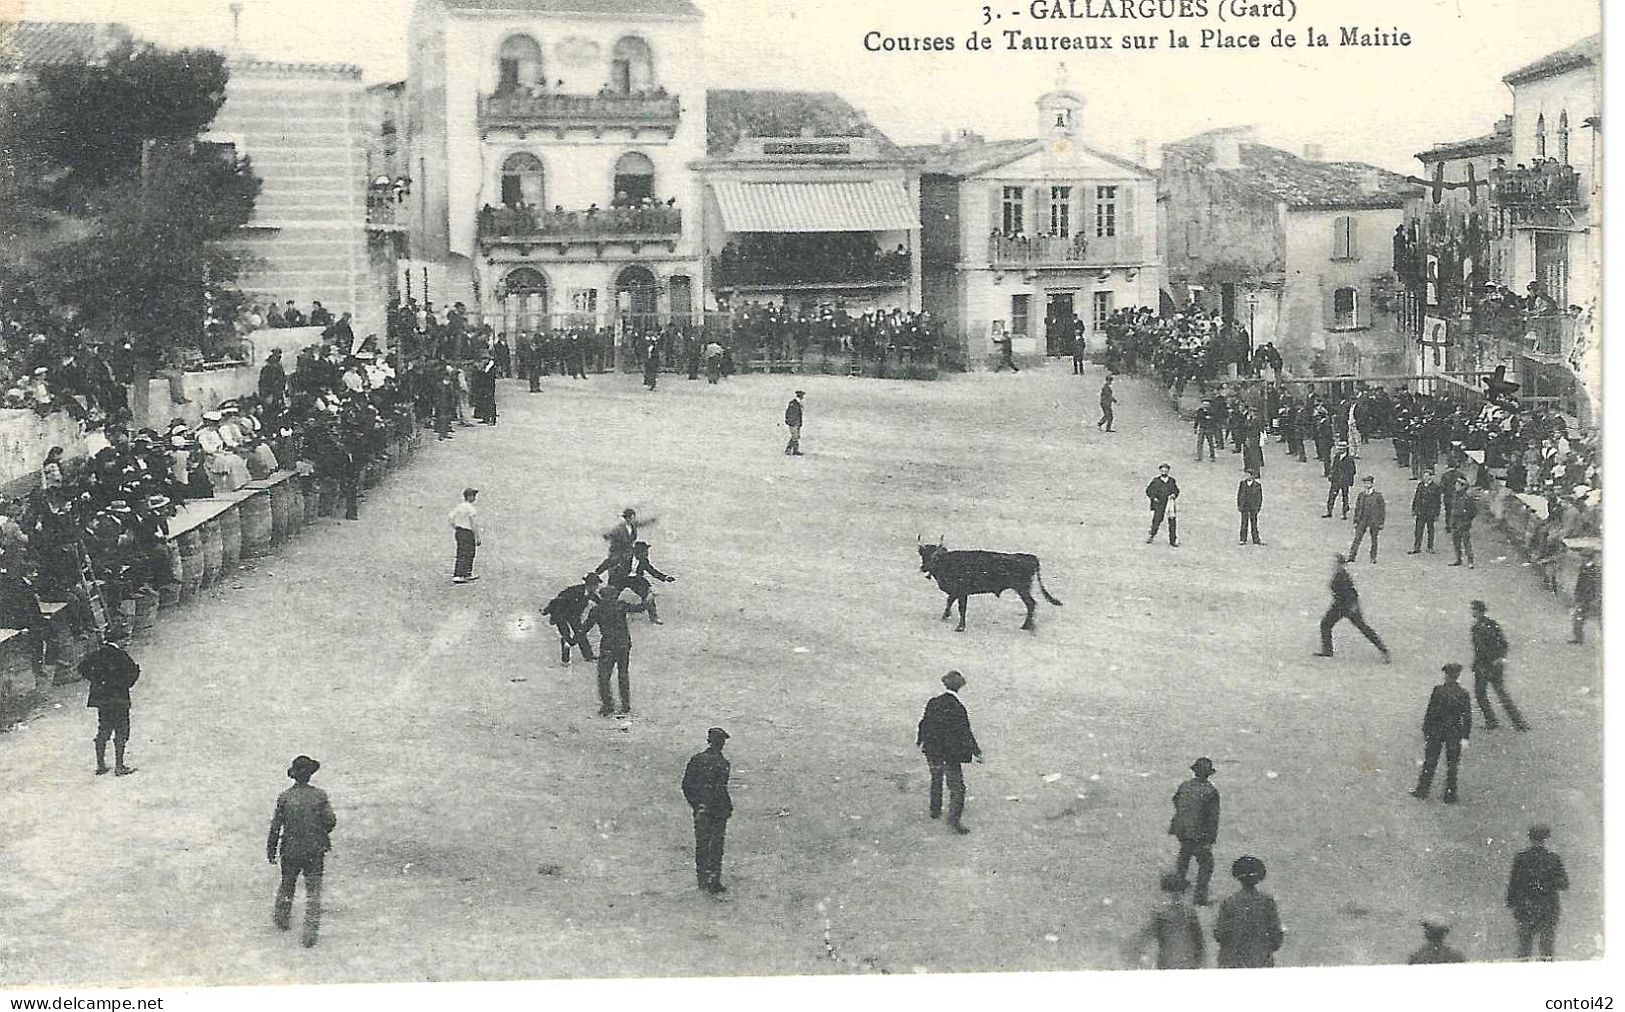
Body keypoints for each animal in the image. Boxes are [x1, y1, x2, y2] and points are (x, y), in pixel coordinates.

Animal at [923, 542, 1059, 630]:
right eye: (922, 554)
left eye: (935, 556)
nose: (923, 568)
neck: (948, 561)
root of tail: (1031, 558)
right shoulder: (957, 592)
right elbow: (950, 601)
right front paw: (945, 616)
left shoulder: (961, 592)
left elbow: (960, 607)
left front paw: (959, 626)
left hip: (1022, 589)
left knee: (1031, 603)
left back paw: (1026, 626)